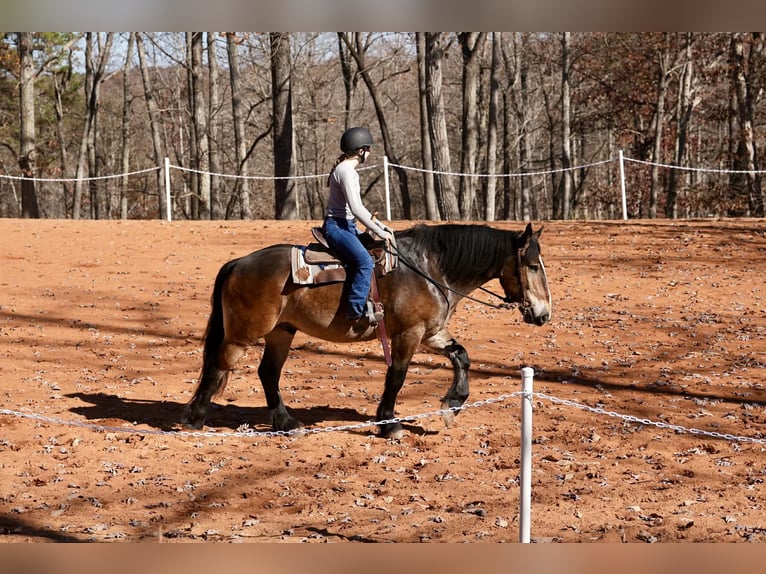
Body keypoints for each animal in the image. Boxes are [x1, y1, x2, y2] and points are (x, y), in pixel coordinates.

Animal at [184, 222, 552, 439]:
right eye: (533, 266)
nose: (544, 314)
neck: (429, 269)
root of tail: (239, 262)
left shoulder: (431, 333)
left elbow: (462, 357)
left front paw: (452, 405)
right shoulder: (408, 334)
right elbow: (397, 377)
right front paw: (388, 423)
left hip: (281, 332)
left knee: (267, 373)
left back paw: (286, 424)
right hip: (243, 334)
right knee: (218, 366)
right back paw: (195, 418)